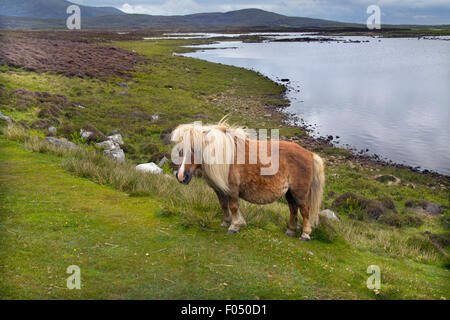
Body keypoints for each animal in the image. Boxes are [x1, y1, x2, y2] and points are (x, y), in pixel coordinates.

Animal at [171, 120, 326, 240]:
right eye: (180, 150)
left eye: (195, 150)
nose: (181, 176)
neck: (225, 159)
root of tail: (310, 154)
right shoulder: (219, 189)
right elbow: (223, 205)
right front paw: (226, 222)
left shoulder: (232, 189)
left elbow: (233, 206)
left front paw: (234, 226)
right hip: (289, 193)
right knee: (293, 209)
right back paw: (291, 231)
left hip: (300, 193)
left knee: (304, 210)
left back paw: (305, 234)